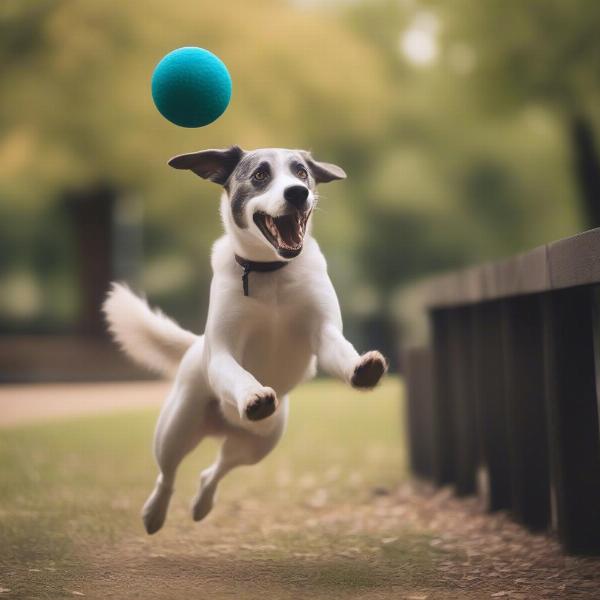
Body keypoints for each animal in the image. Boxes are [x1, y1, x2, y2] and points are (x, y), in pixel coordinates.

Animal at [103, 146, 386, 536]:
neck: (269, 271)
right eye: (260, 175)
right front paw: (253, 394)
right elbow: (238, 374)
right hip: (176, 429)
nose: (297, 192)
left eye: (301, 172)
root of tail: (223, 425)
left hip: (260, 445)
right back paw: (155, 513)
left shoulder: (324, 333)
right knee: (168, 474)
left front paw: (362, 369)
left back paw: (202, 504)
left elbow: (341, 351)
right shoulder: (223, 352)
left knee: (216, 470)